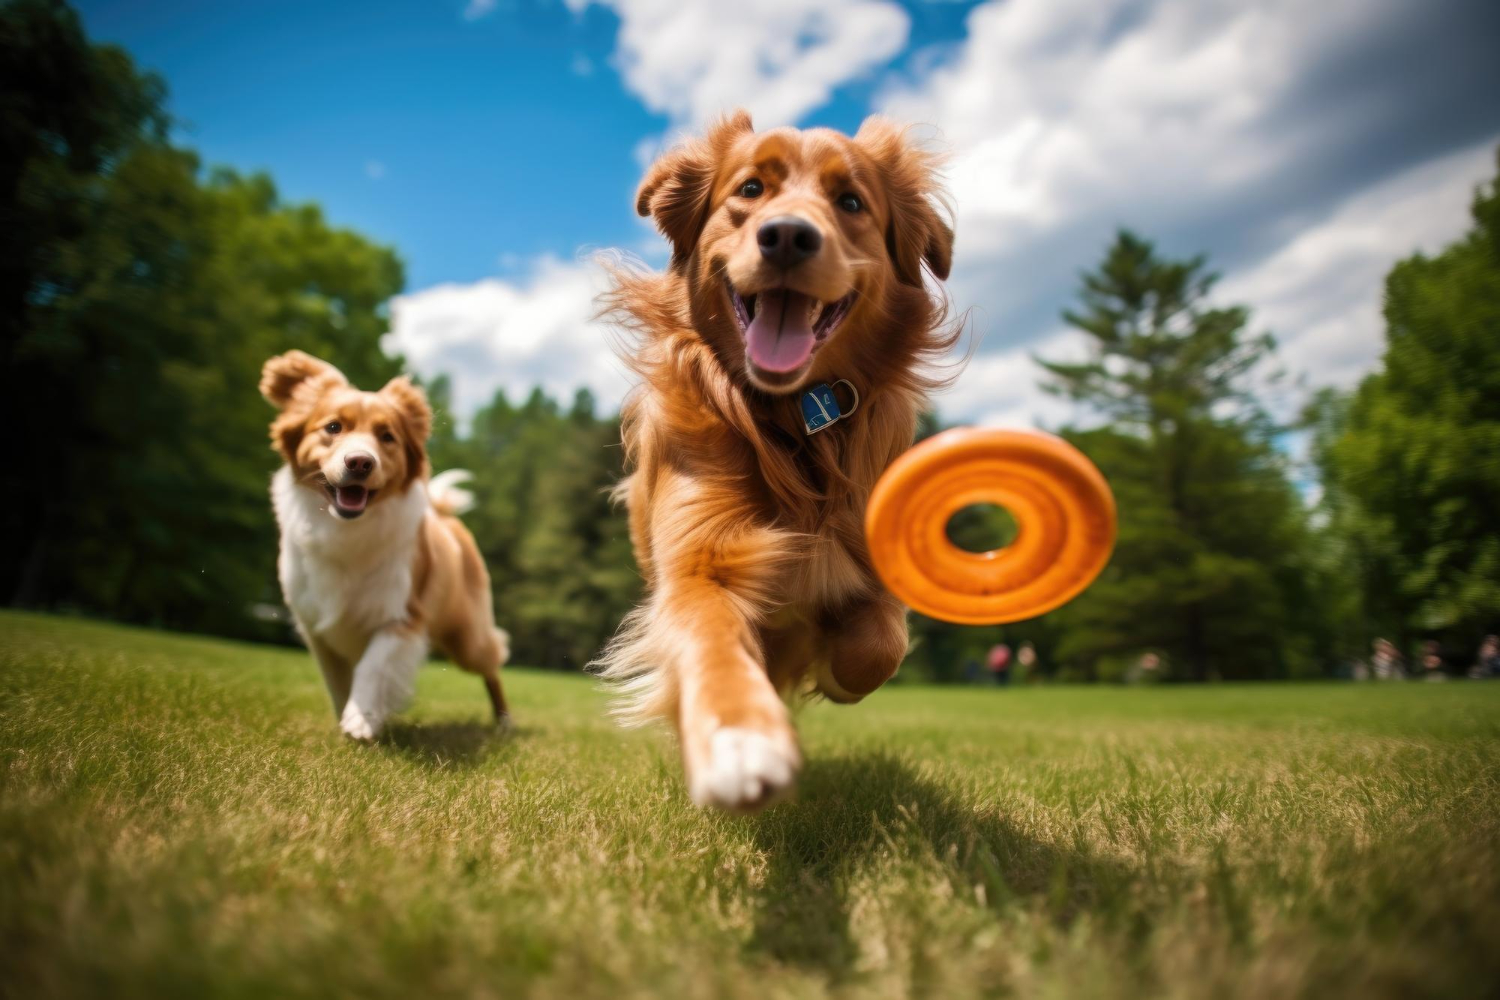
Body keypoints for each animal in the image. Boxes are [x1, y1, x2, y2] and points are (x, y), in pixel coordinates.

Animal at [261, 350, 513, 734]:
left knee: (492, 664)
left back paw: (504, 721)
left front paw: (361, 718)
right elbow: (336, 680)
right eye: (333, 427)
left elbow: (374, 664)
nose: (360, 462)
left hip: (468, 637)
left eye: (387, 436)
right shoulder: (315, 627)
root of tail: (444, 515)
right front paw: (345, 714)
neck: (346, 529)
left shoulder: (401, 615)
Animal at [594, 113, 954, 809]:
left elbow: (879, 644)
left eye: (851, 202)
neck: (792, 424)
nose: (787, 235)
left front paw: (836, 672)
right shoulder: (700, 558)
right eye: (751, 188)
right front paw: (740, 741)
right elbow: (712, 641)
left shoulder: (872, 553)